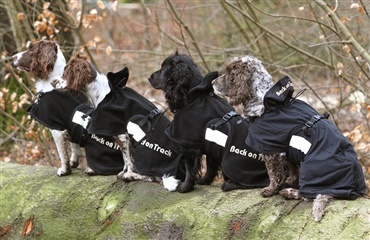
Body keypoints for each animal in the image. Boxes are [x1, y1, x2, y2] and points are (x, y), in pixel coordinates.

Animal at [12, 40, 123, 176]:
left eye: (31, 49)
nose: (12, 57)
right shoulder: (71, 126)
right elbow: (74, 146)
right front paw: (73, 163)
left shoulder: (57, 129)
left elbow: (62, 152)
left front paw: (64, 170)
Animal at [62, 54, 188, 186]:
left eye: (65, 72)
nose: (54, 82)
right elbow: (126, 159)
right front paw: (123, 172)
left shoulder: (122, 134)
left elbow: (127, 159)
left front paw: (127, 174)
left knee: (153, 177)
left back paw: (132, 176)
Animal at [148, 52, 272, 193]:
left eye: (163, 68)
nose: (148, 77)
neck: (193, 97)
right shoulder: (209, 142)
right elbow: (210, 165)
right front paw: (204, 180)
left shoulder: (189, 145)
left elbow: (189, 168)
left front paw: (184, 187)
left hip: (230, 163)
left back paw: (229, 184)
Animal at [212, 55, 366, 221]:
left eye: (229, 73)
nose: (212, 83)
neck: (266, 103)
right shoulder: (286, 148)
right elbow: (291, 167)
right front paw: (290, 181)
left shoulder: (270, 148)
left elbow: (274, 174)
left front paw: (270, 190)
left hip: (311, 168)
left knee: (309, 194)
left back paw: (289, 192)